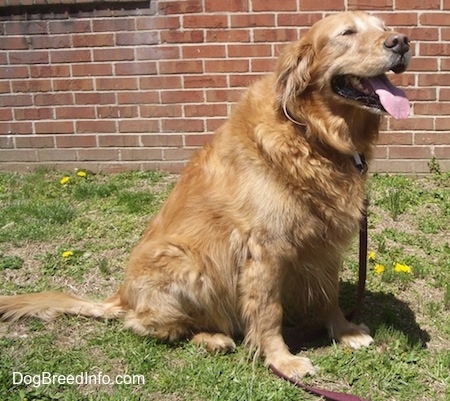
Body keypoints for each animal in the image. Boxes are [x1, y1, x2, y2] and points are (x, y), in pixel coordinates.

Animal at [0, 10, 410, 378]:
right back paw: (211, 337)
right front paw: (282, 361)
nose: (402, 41)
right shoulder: (265, 249)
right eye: (347, 32)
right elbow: (268, 312)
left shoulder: (324, 244)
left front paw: (344, 331)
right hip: (190, 264)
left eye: (383, 26)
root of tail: (120, 295)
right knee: (149, 324)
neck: (312, 135)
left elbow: (328, 295)